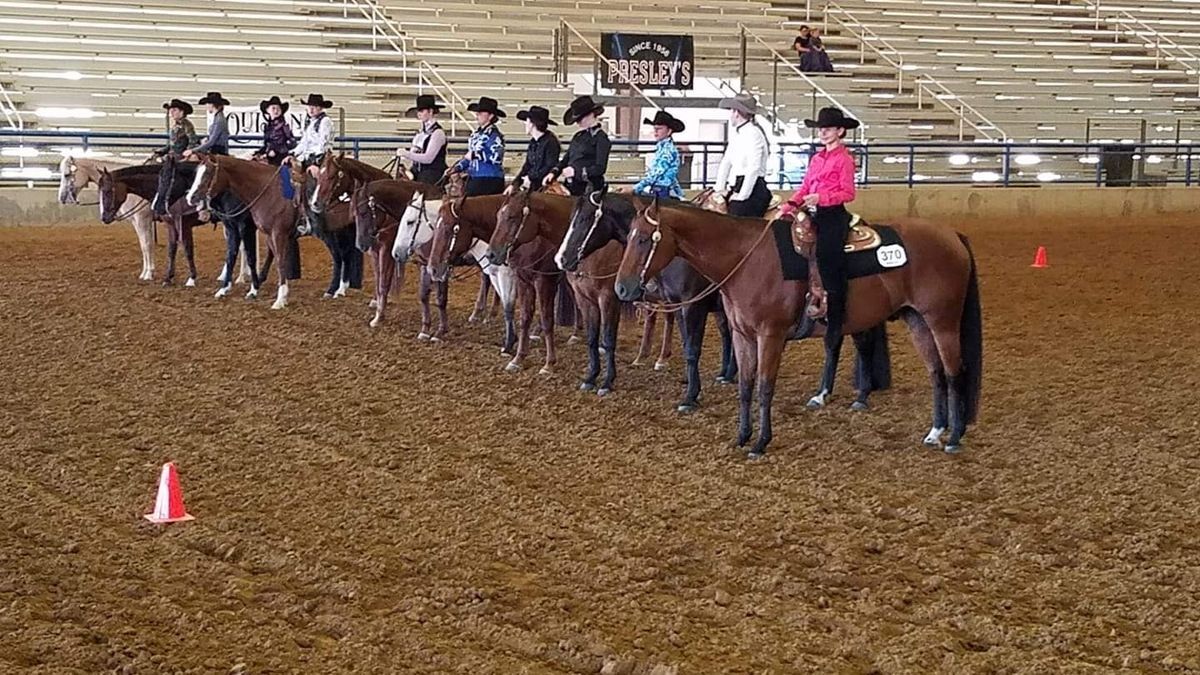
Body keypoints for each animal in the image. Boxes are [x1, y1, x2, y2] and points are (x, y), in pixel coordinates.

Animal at [151, 156, 261, 297]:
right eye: (159, 178)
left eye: (168, 179)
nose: (156, 207)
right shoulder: (171, 226)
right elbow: (172, 250)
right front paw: (168, 278)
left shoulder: (245, 227)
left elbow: (188, 249)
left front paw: (191, 278)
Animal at [427, 193, 566, 372]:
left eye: (451, 228)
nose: (432, 269)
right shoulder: (521, 278)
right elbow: (522, 315)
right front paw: (516, 354)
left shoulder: (542, 280)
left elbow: (545, 317)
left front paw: (548, 363)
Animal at [614, 196, 979, 454]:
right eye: (627, 236)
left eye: (644, 239)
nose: (622, 288)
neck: (746, 259)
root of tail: (953, 236)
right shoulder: (742, 334)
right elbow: (745, 384)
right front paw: (742, 436)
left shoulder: (769, 335)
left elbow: (764, 386)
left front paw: (760, 443)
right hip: (916, 319)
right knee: (934, 372)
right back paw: (934, 431)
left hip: (942, 321)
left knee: (953, 372)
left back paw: (954, 437)